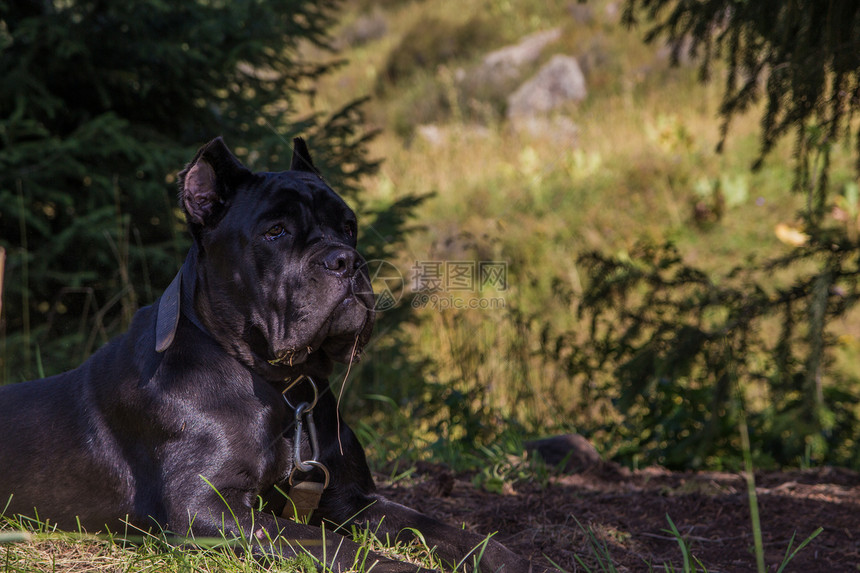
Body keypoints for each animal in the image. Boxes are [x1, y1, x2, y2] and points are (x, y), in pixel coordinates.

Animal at [0, 139, 536, 572]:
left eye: (349, 227)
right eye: (275, 232)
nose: (347, 260)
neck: (281, 385)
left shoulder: (353, 498)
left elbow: (447, 530)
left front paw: (513, 559)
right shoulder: (206, 508)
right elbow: (331, 545)